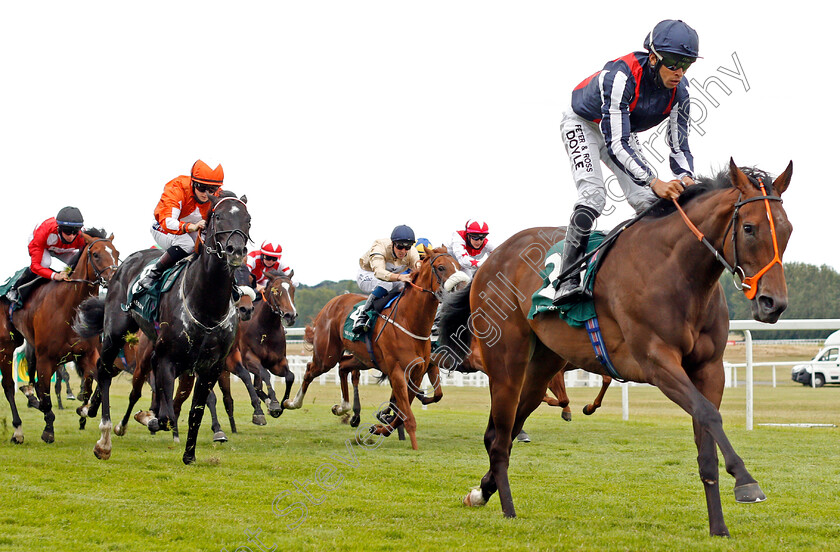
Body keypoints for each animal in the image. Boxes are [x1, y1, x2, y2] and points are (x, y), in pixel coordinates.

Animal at [0, 229, 119, 444]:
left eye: (117, 253)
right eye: (96, 254)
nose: (115, 277)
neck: (67, 308)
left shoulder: (87, 355)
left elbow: (97, 384)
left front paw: (86, 410)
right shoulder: (45, 358)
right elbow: (45, 397)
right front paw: (48, 429)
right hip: (7, 347)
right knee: (9, 386)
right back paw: (18, 430)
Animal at [280, 247, 466, 448]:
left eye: (458, 266)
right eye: (441, 267)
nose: (461, 290)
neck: (410, 321)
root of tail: (332, 302)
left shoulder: (418, 371)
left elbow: (405, 411)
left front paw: (380, 427)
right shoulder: (397, 372)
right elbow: (406, 414)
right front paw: (414, 446)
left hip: (364, 359)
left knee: (344, 366)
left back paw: (343, 407)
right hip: (326, 355)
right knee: (309, 370)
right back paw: (291, 403)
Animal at [440, 162, 796, 536]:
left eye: (787, 229)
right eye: (749, 228)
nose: (773, 303)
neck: (677, 272)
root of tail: (491, 260)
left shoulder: (709, 368)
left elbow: (706, 442)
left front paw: (719, 528)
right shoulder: (656, 361)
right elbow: (710, 414)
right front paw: (746, 481)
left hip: (543, 366)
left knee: (504, 430)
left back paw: (481, 492)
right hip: (506, 362)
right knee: (499, 438)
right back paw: (508, 510)